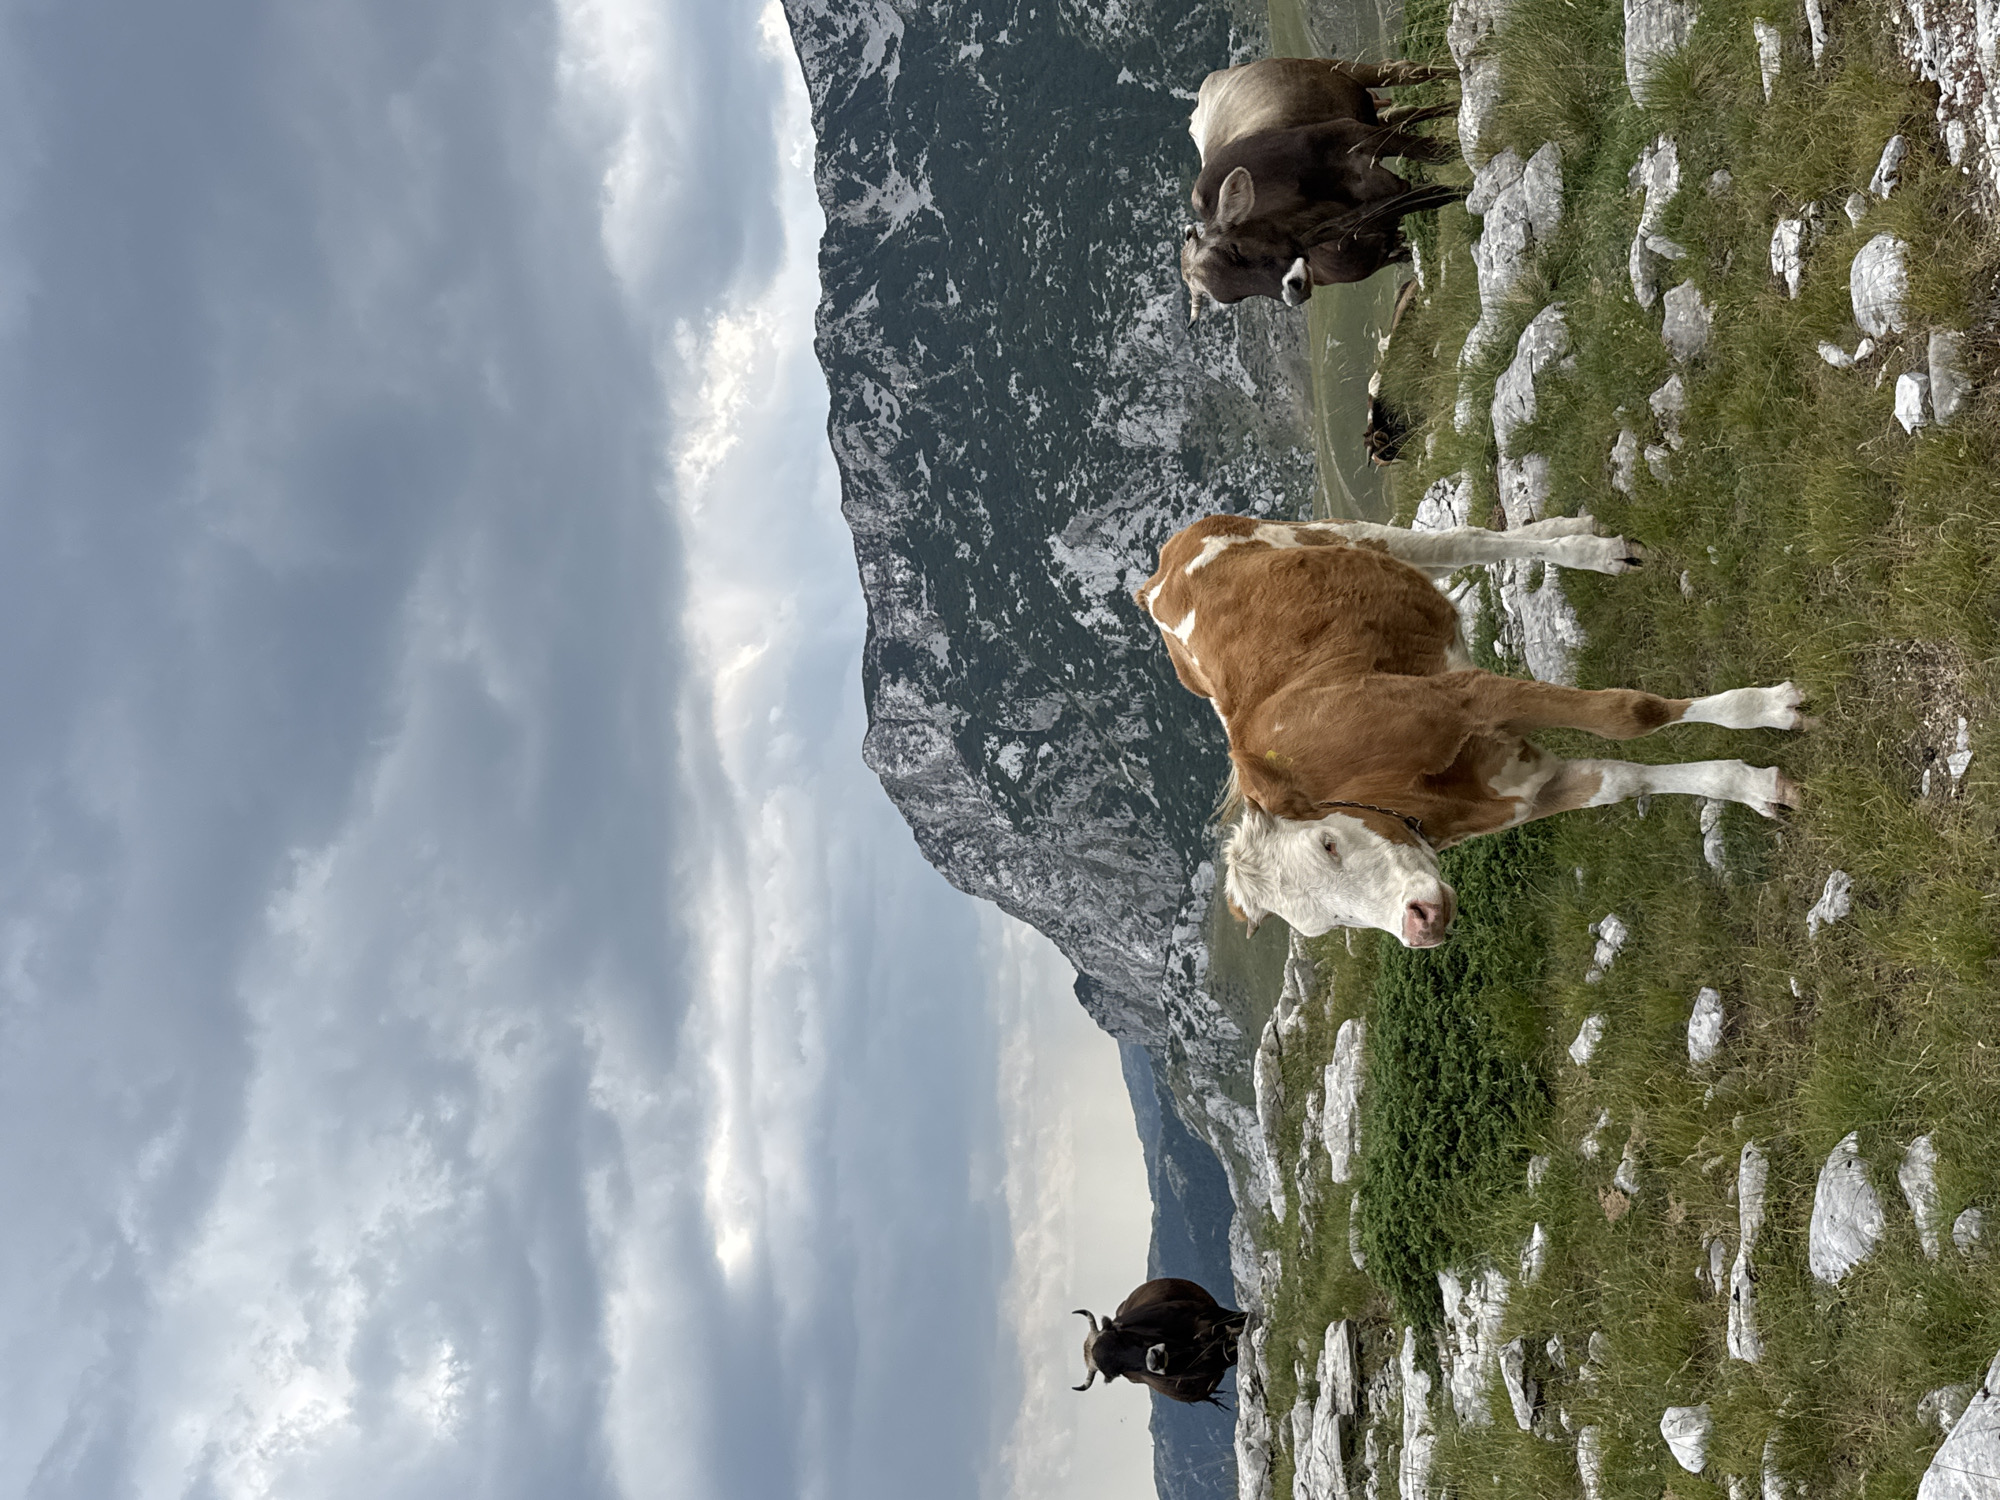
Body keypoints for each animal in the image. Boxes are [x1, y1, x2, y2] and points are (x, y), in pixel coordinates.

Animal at [1073, 1278, 1247, 1406]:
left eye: (1117, 1332)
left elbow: (1241, 1317)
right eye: (1118, 1372)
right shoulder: (1215, 1359)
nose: (1154, 1359)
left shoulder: (1207, 1314)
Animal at [1135, 514, 1807, 946]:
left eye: (1328, 845)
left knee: (1468, 540)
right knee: (1486, 544)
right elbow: (1628, 782)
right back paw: (1574, 528)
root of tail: (1154, 579)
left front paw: (1769, 708)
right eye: (1330, 927)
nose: (1419, 926)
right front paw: (1755, 787)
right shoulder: (1528, 785)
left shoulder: (1467, 695)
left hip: (1348, 534)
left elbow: (1629, 713)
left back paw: (1593, 550)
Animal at [1182, 57, 1463, 320]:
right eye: (1236, 298)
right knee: (1403, 113)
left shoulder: (1354, 135)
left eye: (1235, 251)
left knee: (1405, 72)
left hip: (1341, 72)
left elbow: (1434, 154)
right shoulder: (1373, 203)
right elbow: (1425, 197)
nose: (1293, 291)